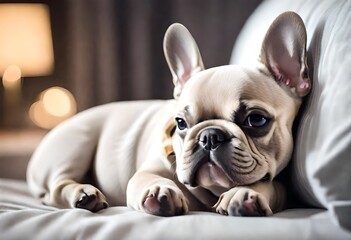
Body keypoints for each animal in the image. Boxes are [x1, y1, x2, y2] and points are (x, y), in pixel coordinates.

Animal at [28, 12, 314, 217]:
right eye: (180, 123)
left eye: (256, 120)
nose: (209, 136)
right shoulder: (145, 172)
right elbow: (146, 178)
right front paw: (159, 190)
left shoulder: (282, 189)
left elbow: (269, 185)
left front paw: (244, 194)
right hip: (75, 145)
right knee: (56, 188)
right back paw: (84, 193)